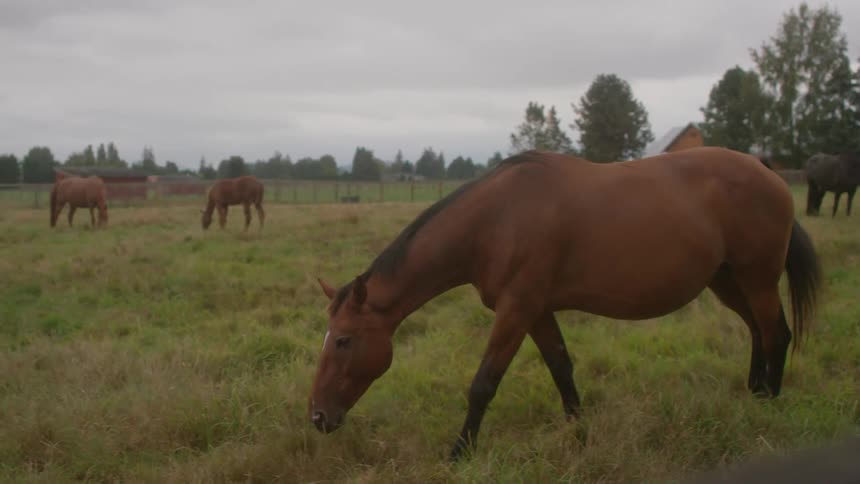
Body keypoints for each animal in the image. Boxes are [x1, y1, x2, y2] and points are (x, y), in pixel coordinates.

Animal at [309, 147, 821, 460]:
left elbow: (483, 384)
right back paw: (754, 393)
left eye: (344, 341)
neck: (496, 220)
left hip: (755, 278)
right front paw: (578, 433)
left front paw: (459, 453)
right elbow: (561, 368)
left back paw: (768, 405)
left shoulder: (517, 310)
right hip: (728, 281)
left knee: (776, 334)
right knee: (758, 331)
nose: (317, 416)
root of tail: (767, 171)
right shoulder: (536, 310)